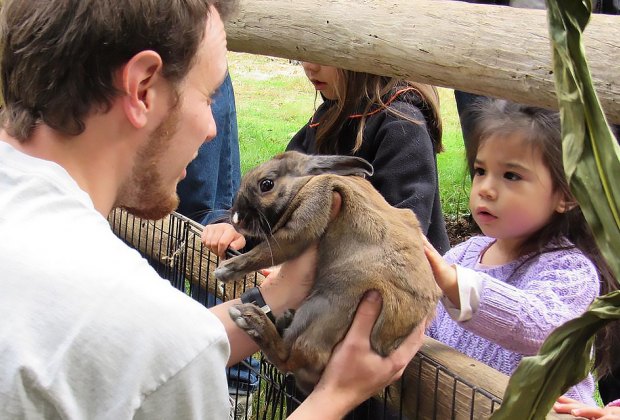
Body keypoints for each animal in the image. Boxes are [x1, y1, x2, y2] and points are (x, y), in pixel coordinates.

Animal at [214, 150, 440, 394]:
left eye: (266, 184)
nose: (236, 218)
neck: (305, 183)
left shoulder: (310, 210)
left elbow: (265, 252)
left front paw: (225, 270)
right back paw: (283, 318)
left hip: (323, 307)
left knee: (288, 358)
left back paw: (251, 320)